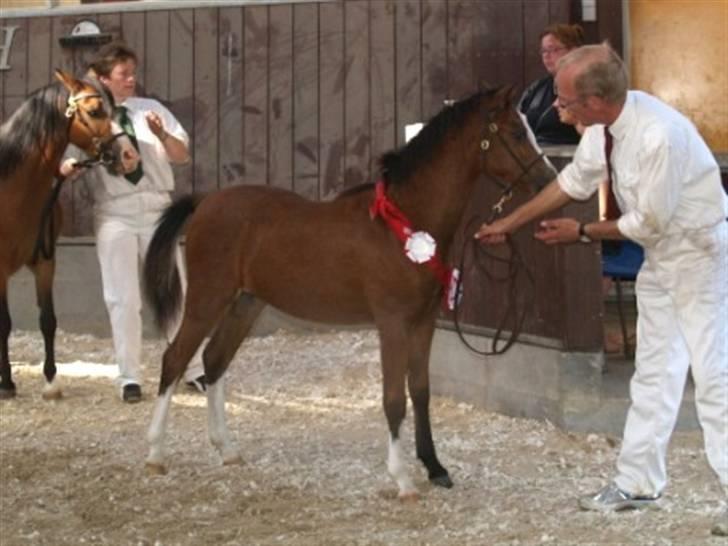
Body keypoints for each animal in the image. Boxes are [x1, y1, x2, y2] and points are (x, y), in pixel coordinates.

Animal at [0, 70, 139, 398]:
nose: (128, 155)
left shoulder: (45, 262)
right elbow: (3, 324)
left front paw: (51, 381)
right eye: (95, 111)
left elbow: (48, 320)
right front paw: (7, 382)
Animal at [142, 85, 556, 498]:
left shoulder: (424, 322)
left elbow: (420, 391)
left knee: (214, 359)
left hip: (245, 304)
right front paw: (402, 478)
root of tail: (204, 202)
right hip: (207, 299)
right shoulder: (392, 323)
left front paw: (435, 467)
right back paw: (155, 454)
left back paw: (226, 449)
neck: (405, 220)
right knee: (175, 360)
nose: (547, 181)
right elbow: (394, 399)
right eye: (517, 133)